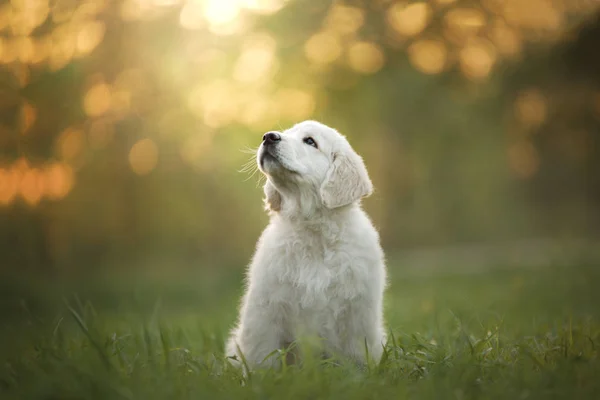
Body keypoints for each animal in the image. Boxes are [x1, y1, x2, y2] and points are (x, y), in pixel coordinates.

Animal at [226, 119, 390, 368]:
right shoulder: (266, 311)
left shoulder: (357, 315)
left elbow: (356, 356)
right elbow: (263, 357)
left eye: (310, 141)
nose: (268, 137)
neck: (313, 231)